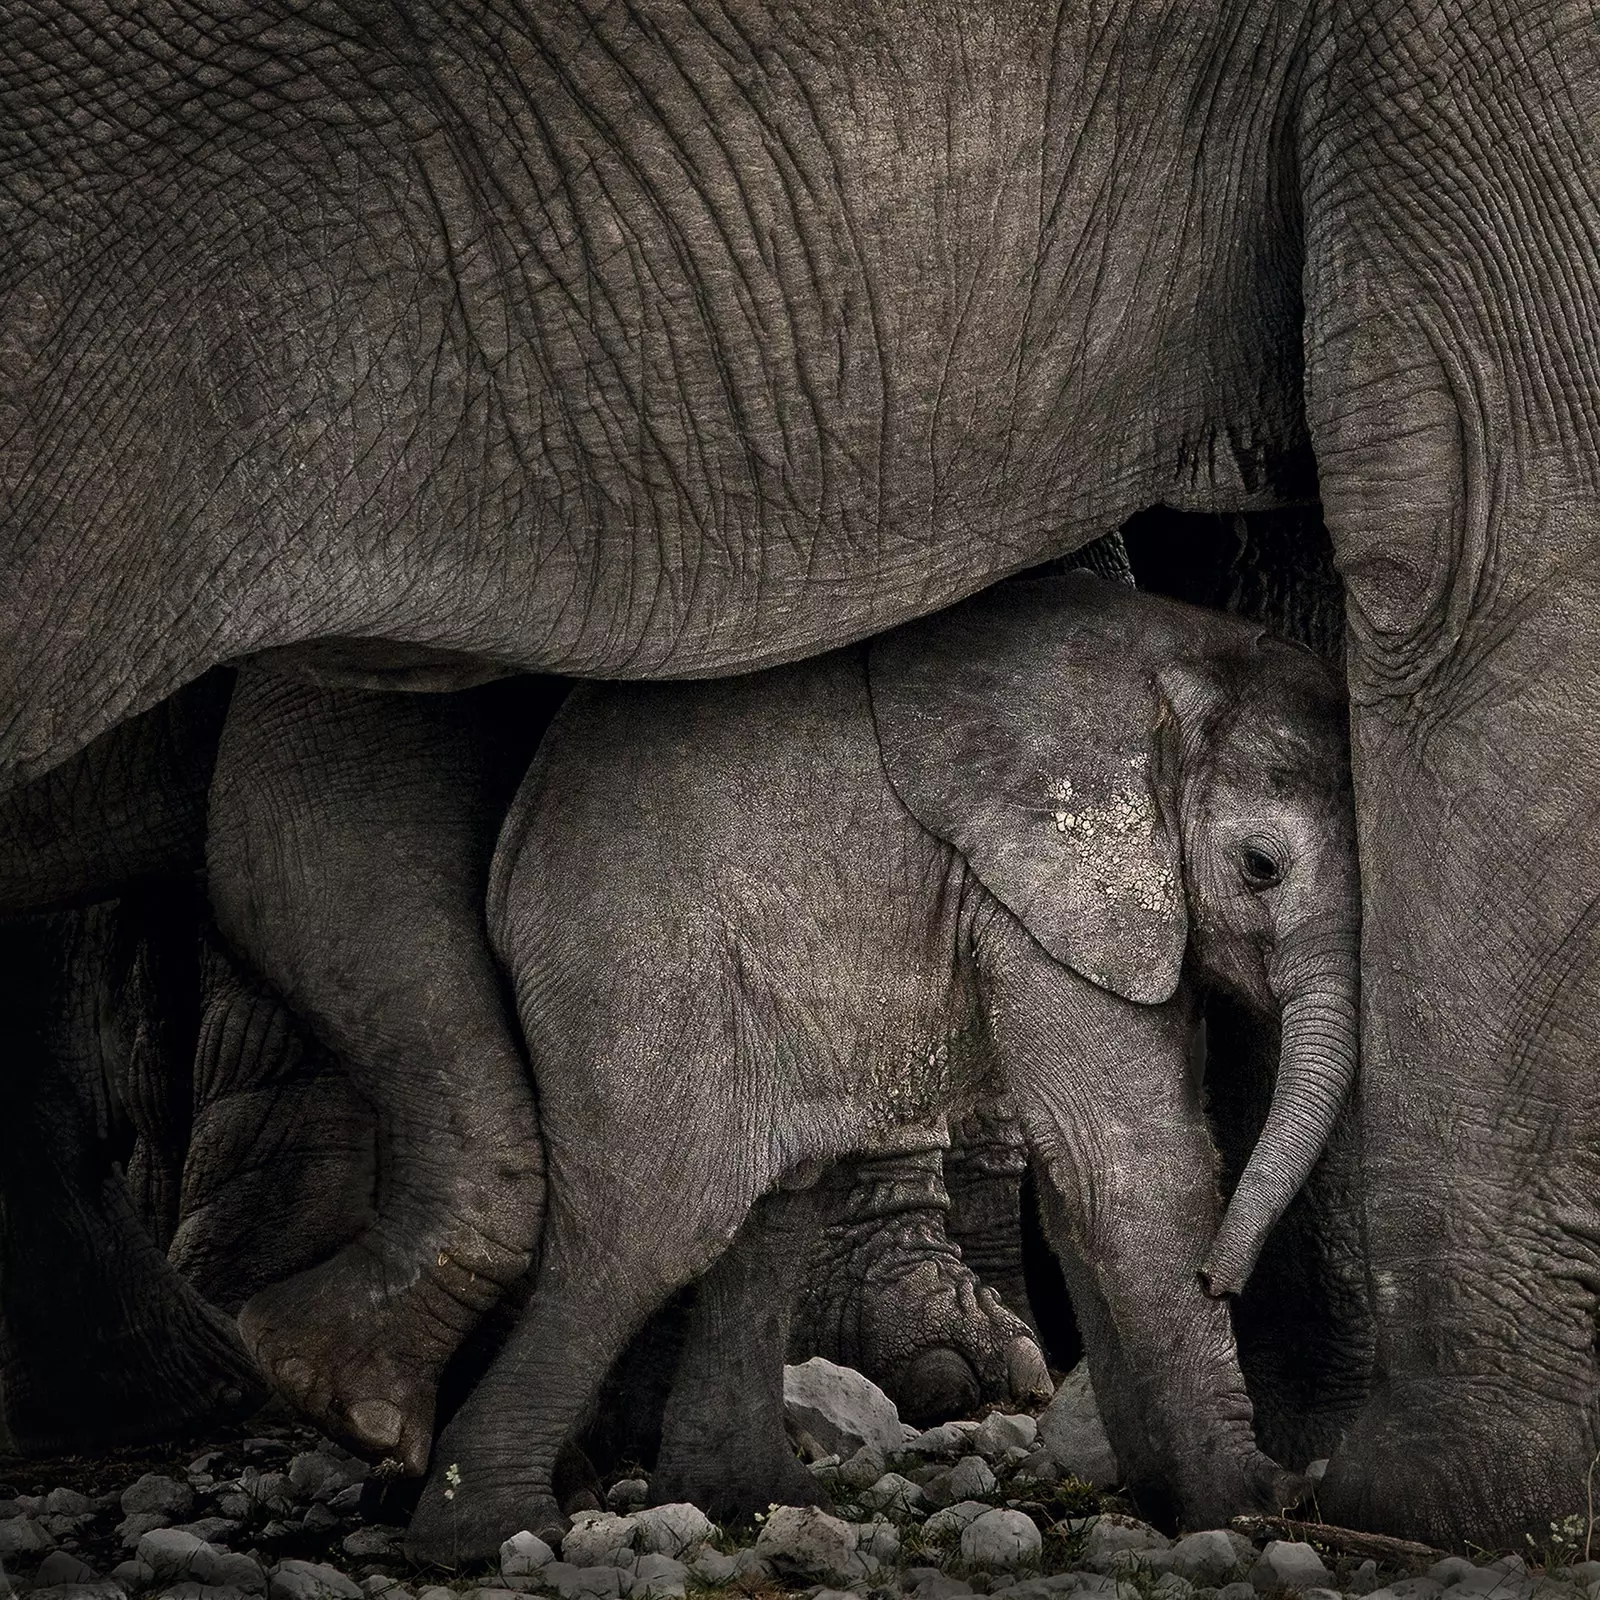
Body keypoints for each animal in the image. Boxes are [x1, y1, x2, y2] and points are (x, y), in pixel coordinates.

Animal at [406, 569, 1356, 1555]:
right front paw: (1247, 1506)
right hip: (639, 968)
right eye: (1260, 866)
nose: (1222, 1277)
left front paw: (1173, 1500)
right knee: (656, 1224)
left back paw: (746, 1498)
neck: (1183, 674)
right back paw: (489, 1529)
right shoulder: (1050, 895)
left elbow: (1083, 1186)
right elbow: (1129, 1167)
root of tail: (511, 852)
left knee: (775, 1206)